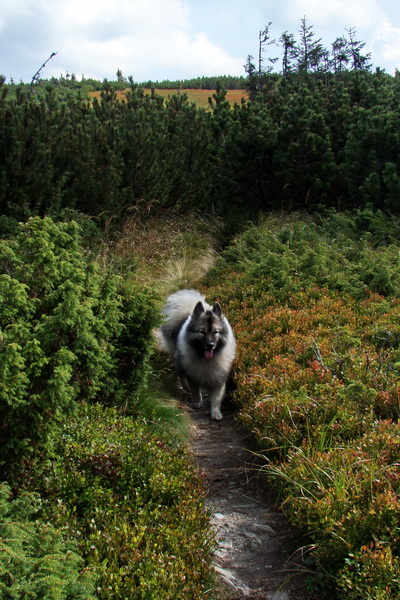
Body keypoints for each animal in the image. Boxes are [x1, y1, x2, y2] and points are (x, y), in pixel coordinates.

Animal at [159, 288, 236, 420]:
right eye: (202, 332)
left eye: (216, 332)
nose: (210, 345)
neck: (207, 360)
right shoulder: (193, 374)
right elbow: (195, 390)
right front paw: (197, 402)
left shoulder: (218, 377)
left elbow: (216, 398)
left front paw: (215, 412)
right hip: (180, 361)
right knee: (181, 375)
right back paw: (185, 387)